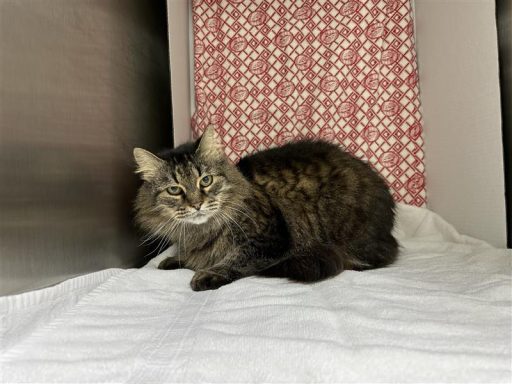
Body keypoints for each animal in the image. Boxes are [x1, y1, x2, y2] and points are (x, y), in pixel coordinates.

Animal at [134, 127, 398, 290]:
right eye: (174, 190)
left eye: (206, 180)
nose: (197, 204)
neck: (201, 230)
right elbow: (193, 255)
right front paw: (176, 259)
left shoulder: (269, 241)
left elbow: (234, 258)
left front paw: (208, 273)